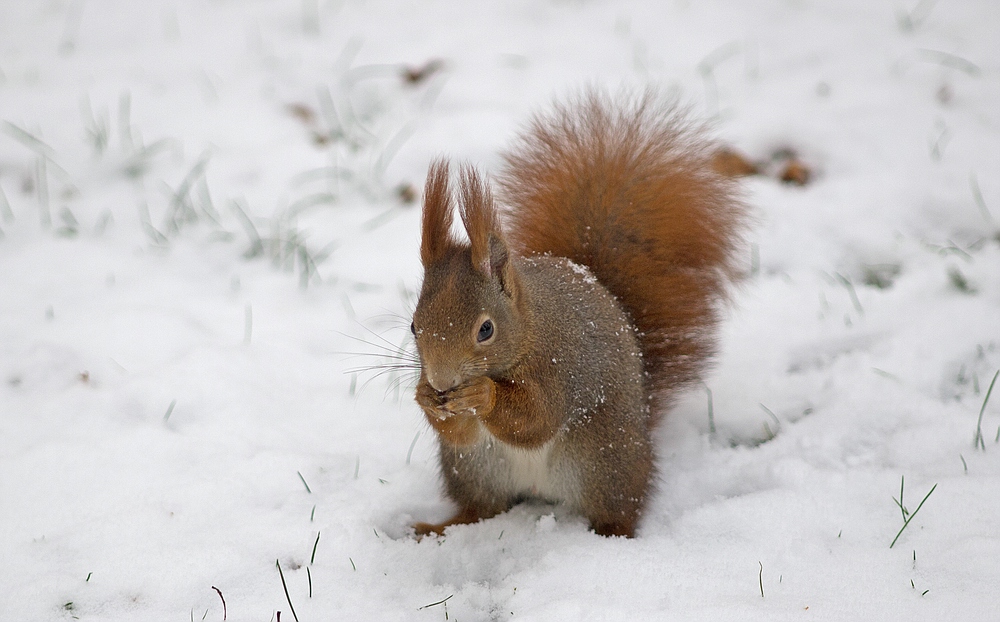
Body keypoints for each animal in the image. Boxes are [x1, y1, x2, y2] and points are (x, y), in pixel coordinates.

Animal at [410, 89, 748, 540]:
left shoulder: (559, 365)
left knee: (617, 508)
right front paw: (424, 396)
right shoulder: (465, 437)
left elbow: (538, 418)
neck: (530, 329)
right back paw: (439, 526)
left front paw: (482, 394)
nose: (442, 382)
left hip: (603, 460)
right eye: (414, 326)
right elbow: (462, 434)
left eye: (486, 329)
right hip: (474, 468)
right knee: (482, 507)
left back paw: (612, 536)